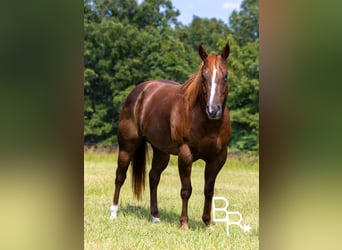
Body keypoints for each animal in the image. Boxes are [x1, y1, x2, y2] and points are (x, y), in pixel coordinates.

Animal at [111, 44, 231, 229]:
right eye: (203, 76)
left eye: (225, 75)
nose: (213, 110)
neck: (207, 123)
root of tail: (139, 92)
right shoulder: (185, 154)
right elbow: (186, 189)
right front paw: (184, 224)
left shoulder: (218, 157)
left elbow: (209, 190)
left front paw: (208, 223)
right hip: (126, 147)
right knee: (120, 176)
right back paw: (113, 213)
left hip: (161, 152)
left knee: (153, 178)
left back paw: (155, 216)